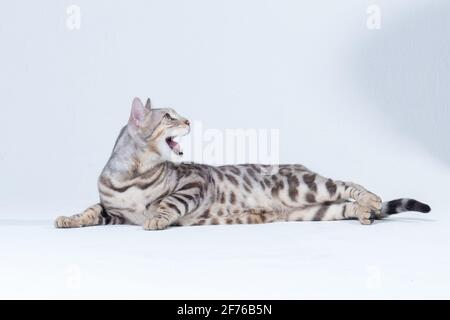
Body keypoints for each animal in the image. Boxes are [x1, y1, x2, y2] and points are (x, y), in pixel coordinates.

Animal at [54, 97, 430, 230]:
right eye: (169, 116)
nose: (188, 119)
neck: (131, 175)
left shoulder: (192, 183)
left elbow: (168, 203)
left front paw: (157, 218)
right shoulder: (112, 211)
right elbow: (90, 211)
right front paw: (69, 219)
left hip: (301, 186)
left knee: (351, 184)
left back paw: (371, 201)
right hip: (314, 210)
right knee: (345, 205)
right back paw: (365, 211)